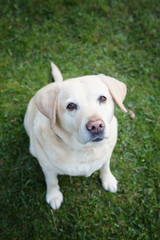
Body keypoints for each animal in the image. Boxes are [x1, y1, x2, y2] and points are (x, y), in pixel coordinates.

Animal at [23, 62, 127, 210]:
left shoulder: (107, 155)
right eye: (71, 106)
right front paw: (54, 196)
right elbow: (52, 181)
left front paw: (108, 179)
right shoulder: (47, 168)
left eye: (102, 98)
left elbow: (105, 166)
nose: (96, 126)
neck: (86, 149)